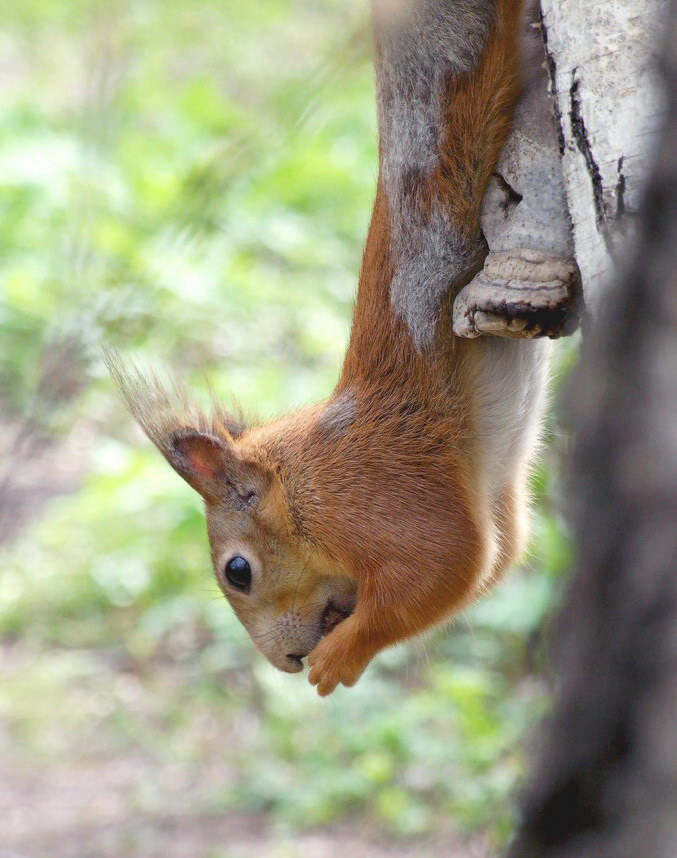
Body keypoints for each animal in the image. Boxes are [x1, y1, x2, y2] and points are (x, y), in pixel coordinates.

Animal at [109, 0, 564, 696]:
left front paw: (342, 657)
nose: (284, 661)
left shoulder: (380, 500)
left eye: (238, 570)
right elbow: (495, 562)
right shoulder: (490, 495)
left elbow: (447, 566)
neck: (302, 487)